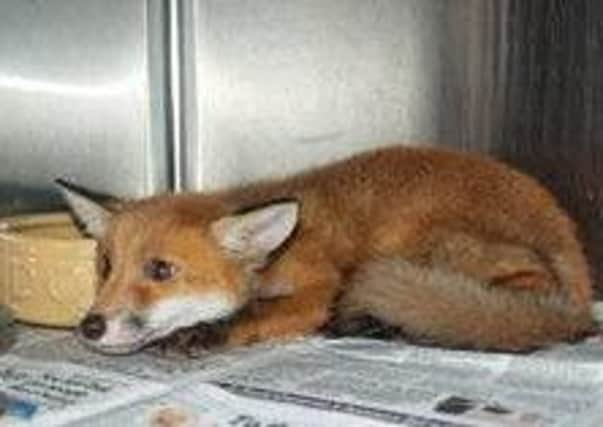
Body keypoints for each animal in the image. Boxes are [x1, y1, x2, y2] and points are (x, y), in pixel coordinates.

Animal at [56, 145, 596, 356]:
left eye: (161, 270)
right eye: (106, 267)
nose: (89, 326)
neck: (275, 257)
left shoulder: (320, 286)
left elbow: (256, 313)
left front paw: (204, 334)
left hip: (411, 241)